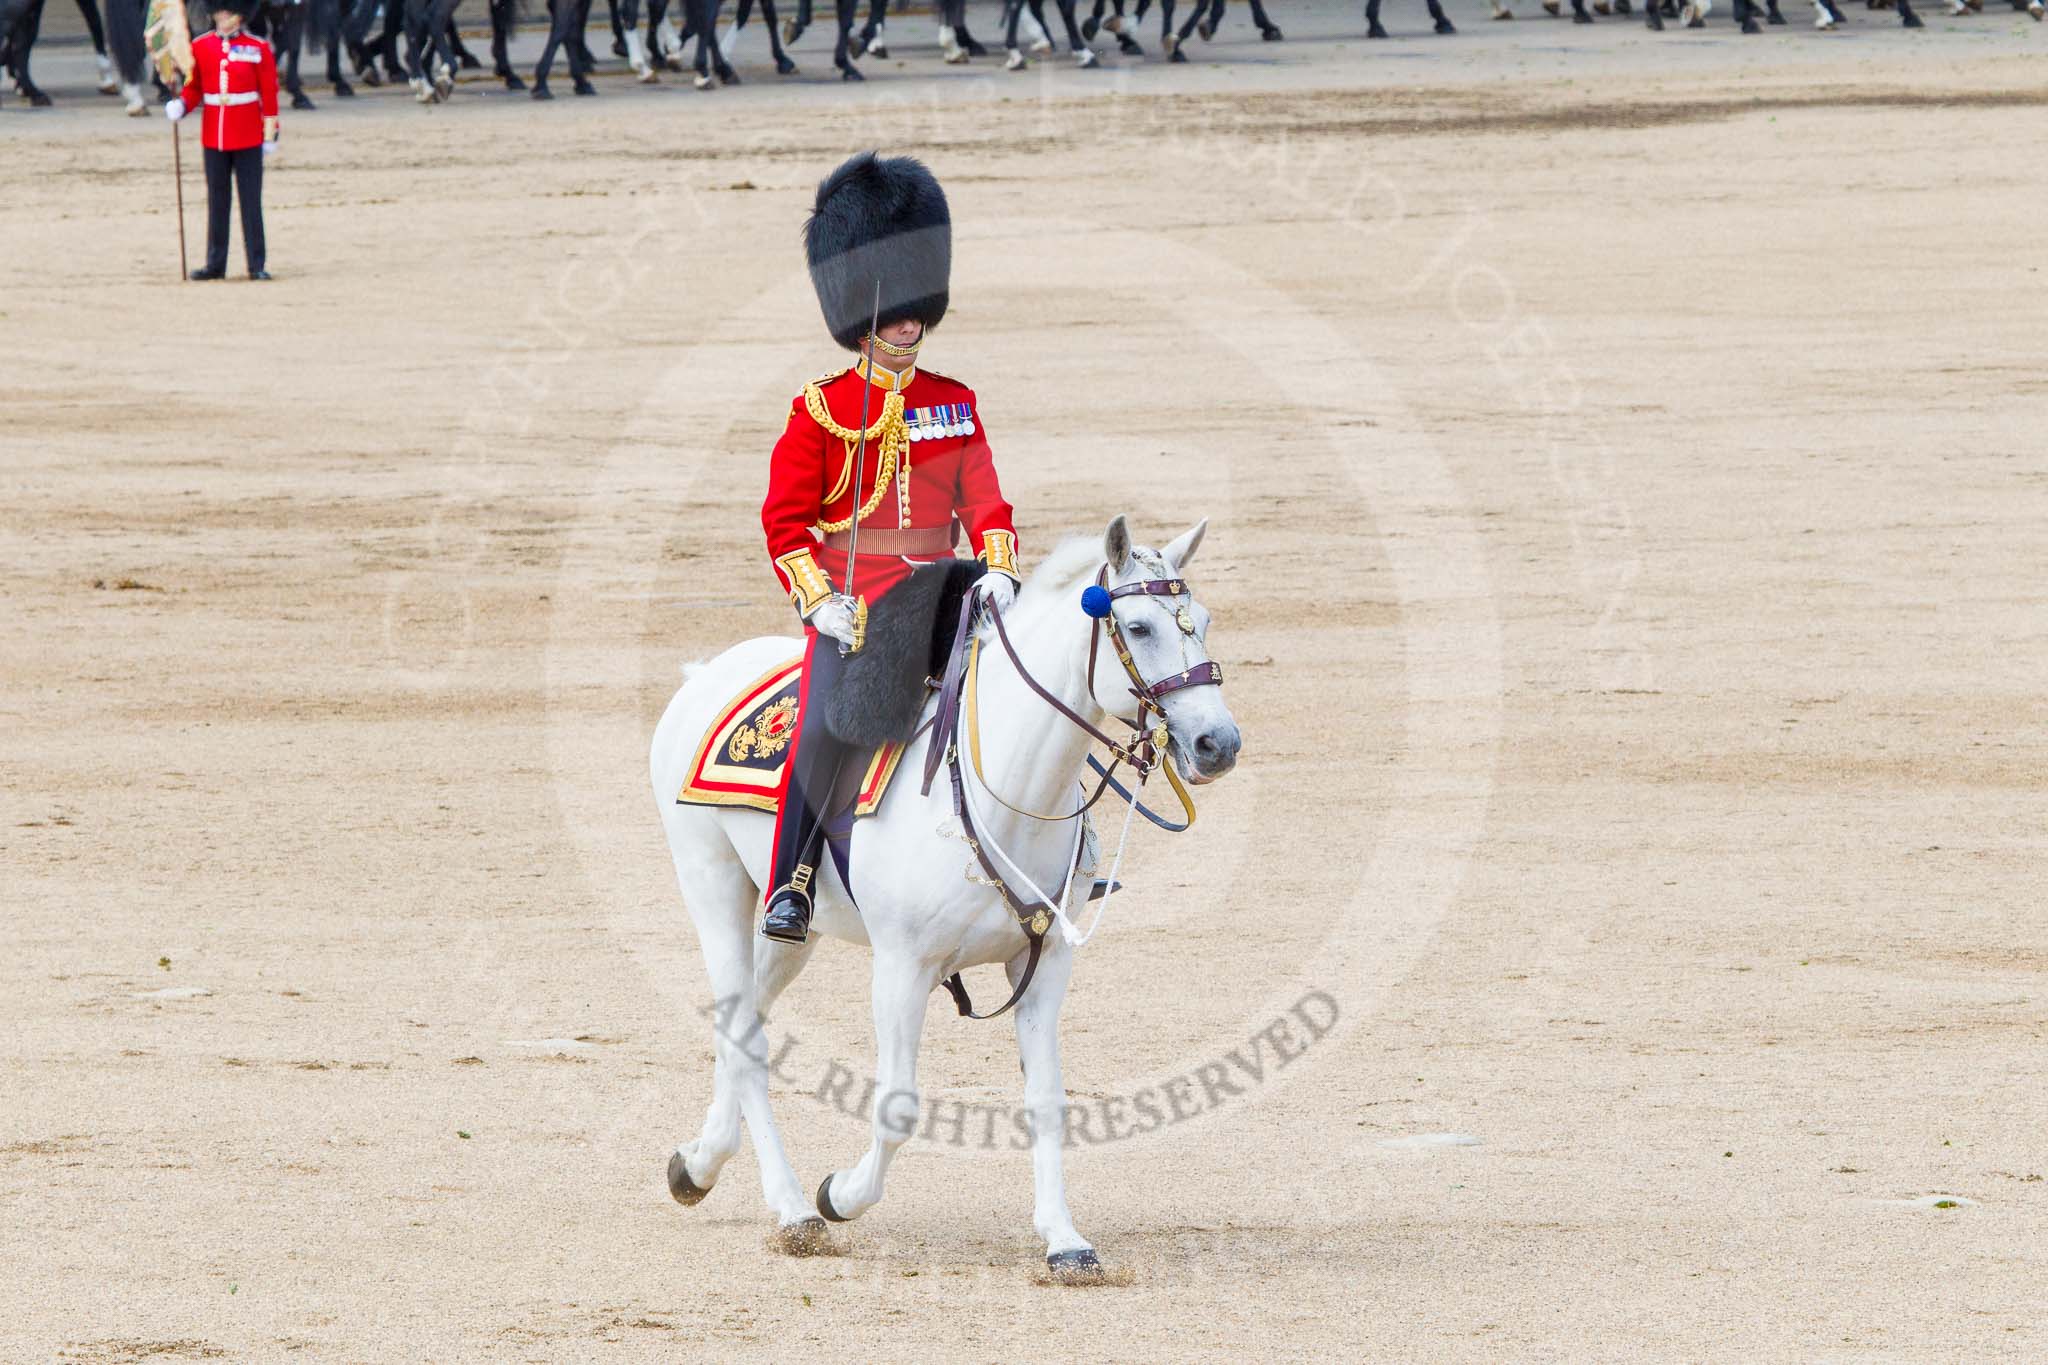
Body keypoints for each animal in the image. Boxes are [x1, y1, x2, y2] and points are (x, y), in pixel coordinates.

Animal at [647, 515, 1236, 1285]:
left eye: (1205, 621)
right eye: (1136, 626)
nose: (1219, 742)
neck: (1007, 790)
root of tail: (705, 676)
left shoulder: (1043, 965)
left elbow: (1047, 1099)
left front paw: (1063, 1238)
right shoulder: (902, 967)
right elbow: (897, 1105)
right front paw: (841, 1194)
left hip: (793, 929)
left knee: (745, 1018)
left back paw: (700, 1163)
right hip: (711, 881)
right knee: (744, 1030)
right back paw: (794, 1208)